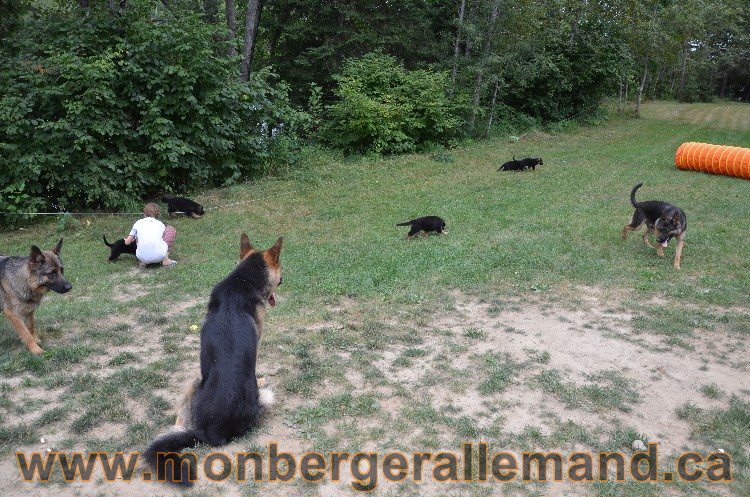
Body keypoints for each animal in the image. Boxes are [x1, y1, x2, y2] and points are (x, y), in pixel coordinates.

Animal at [143, 233, 282, 484]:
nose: (283, 278)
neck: (241, 280)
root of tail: (209, 433)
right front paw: (261, 378)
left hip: (194, 381)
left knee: (178, 424)